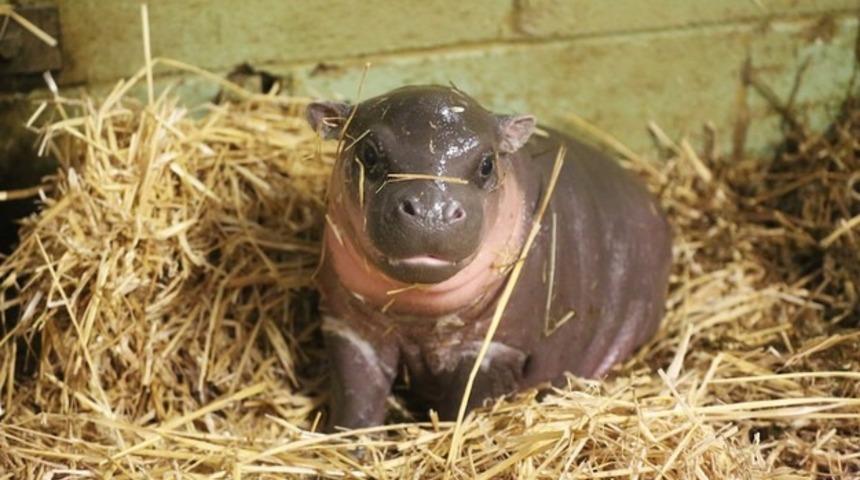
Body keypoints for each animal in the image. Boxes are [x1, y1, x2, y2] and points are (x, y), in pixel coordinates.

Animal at [305, 85, 672, 430]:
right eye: (368, 152)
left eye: (487, 164)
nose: (431, 211)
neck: (418, 315)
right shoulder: (349, 326)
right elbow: (357, 397)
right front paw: (350, 443)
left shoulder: (495, 347)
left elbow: (467, 402)